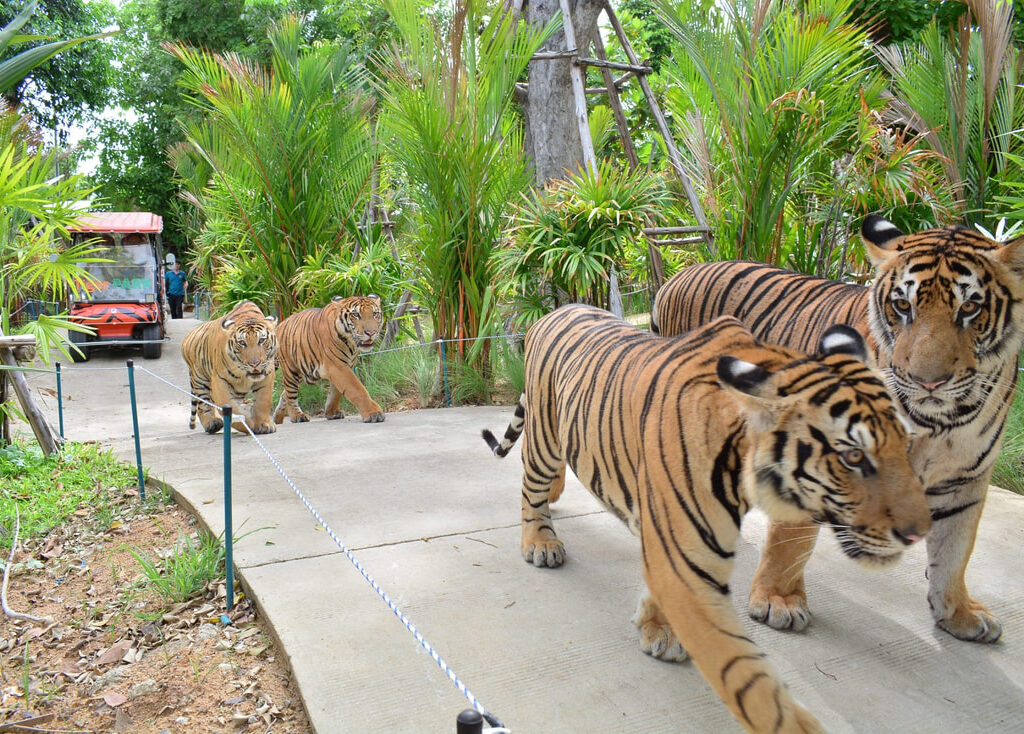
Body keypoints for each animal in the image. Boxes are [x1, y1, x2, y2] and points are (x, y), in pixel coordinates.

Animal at [181, 300, 278, 435]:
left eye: (262, 340)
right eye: (242, 343)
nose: (254, 363)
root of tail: (188, 337)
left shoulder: (267, 377)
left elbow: (263, 402)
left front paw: (264, 424)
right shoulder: (219, 380)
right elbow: (232, 410)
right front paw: (248, 424)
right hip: (200, 380)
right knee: (203, 404)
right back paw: (212, 423)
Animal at [272, 295, 385, 424]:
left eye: (375, 314)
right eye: (356, 315)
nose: (371, 332)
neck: (351, 343)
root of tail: (280, 325)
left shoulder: (346, 366)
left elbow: (336, 393)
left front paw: (332, 412)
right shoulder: (338, 366)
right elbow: (357, 389)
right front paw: (374, 413)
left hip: (303, 371)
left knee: (284, 393)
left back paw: (277, 417)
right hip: (291, 370)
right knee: (290, 394)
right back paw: (297, 416)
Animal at [482, 304, 929, 734]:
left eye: (905, 444)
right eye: (853, 456)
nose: (918, 533)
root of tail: (550, 313)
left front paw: (659, 626)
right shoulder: (689, 556)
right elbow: (750, 683)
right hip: (544, 435)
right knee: (531, 488)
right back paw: (541, 543)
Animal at [652, 214, 1024, 643]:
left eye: (970, 308)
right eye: (903, 306)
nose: (927, 382)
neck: (940, 419)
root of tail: (680, 274)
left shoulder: (966, 478)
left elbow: (955, 550)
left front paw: (959, 613)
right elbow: (791, 541)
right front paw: (779, 601)